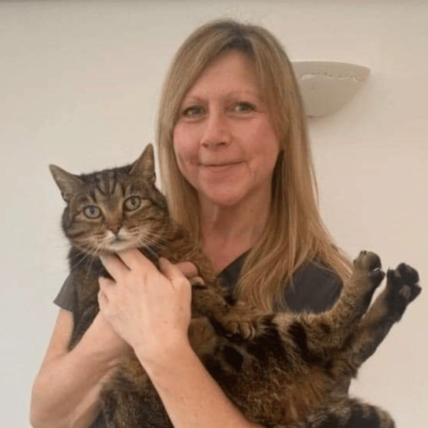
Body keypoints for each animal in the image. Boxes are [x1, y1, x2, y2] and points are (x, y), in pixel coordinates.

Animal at [50, 145, 422, 428]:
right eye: (92, 211)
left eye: (131, 203)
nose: (114, 227)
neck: (167, 242)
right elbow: (198, 291)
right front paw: (230, 314)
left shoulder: (207, 276)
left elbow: (221, 293)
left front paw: (235, 310)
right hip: (255, 351)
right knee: (328, 338)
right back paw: (374, 281)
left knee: (344, 350)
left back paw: (397, 289)